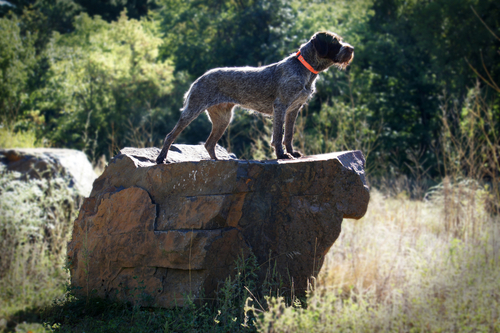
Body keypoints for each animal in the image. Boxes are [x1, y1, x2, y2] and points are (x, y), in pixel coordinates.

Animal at [154, 30, 354, 163]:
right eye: (335, 42)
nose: (351, 48)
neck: (305, 68)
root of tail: (198, 79)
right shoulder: (281, 107)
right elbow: (278, 134)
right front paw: (281, 155)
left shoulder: (293, 110)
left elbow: (288, 134)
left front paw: (292, 152)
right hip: (192, 111)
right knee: (170, 136)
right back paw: (161, 158)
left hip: (223, 119)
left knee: (209, 144)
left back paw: (217, 161)